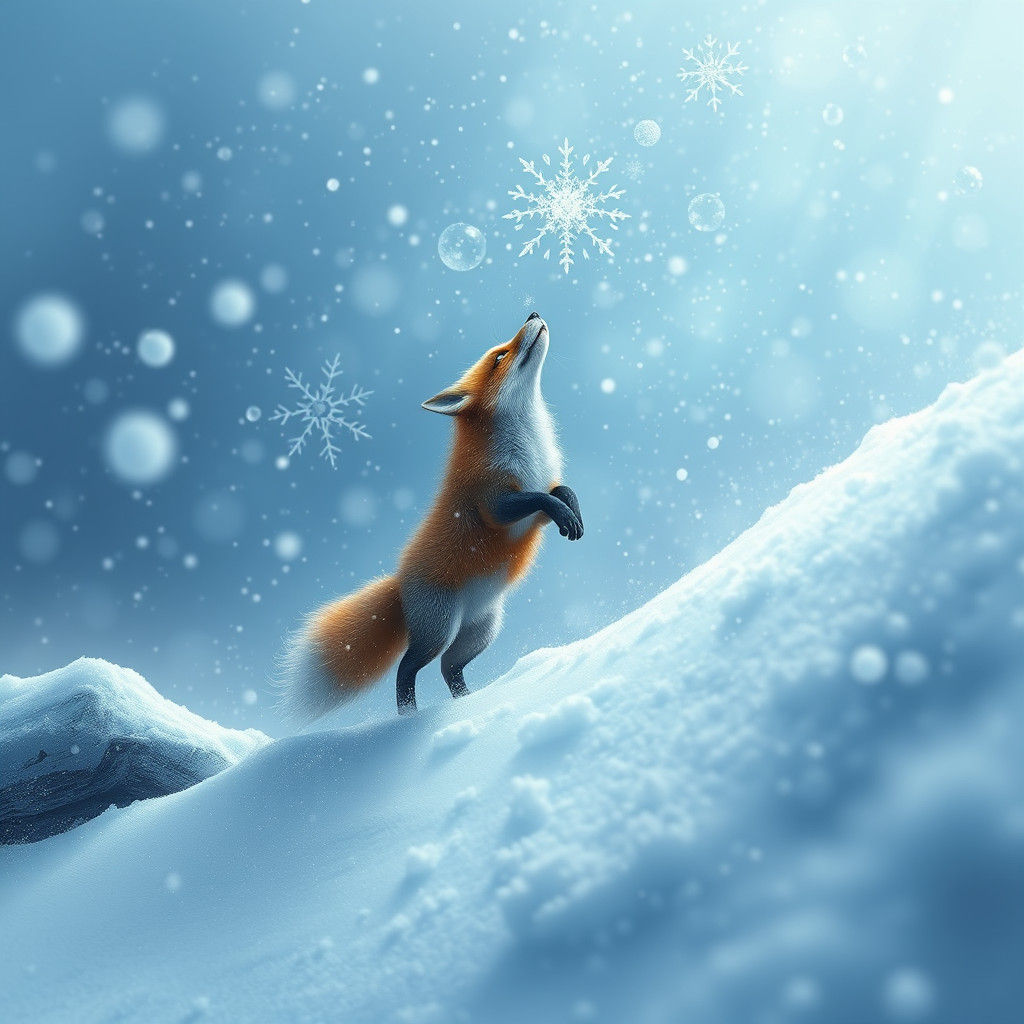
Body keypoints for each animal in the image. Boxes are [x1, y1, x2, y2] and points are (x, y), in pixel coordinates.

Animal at [279, 312, 584, 720]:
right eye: (499, 358)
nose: (532, 314)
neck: (528, 444)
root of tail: (400, 584)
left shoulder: (536, 505)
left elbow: (558, 493)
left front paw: (574, 514)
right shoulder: (492, 503)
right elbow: (539, 500)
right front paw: (566, 514)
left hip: (480, 632)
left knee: (448, 668)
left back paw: (469, 701)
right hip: (439, 630)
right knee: (407, 668)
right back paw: (409, 714)